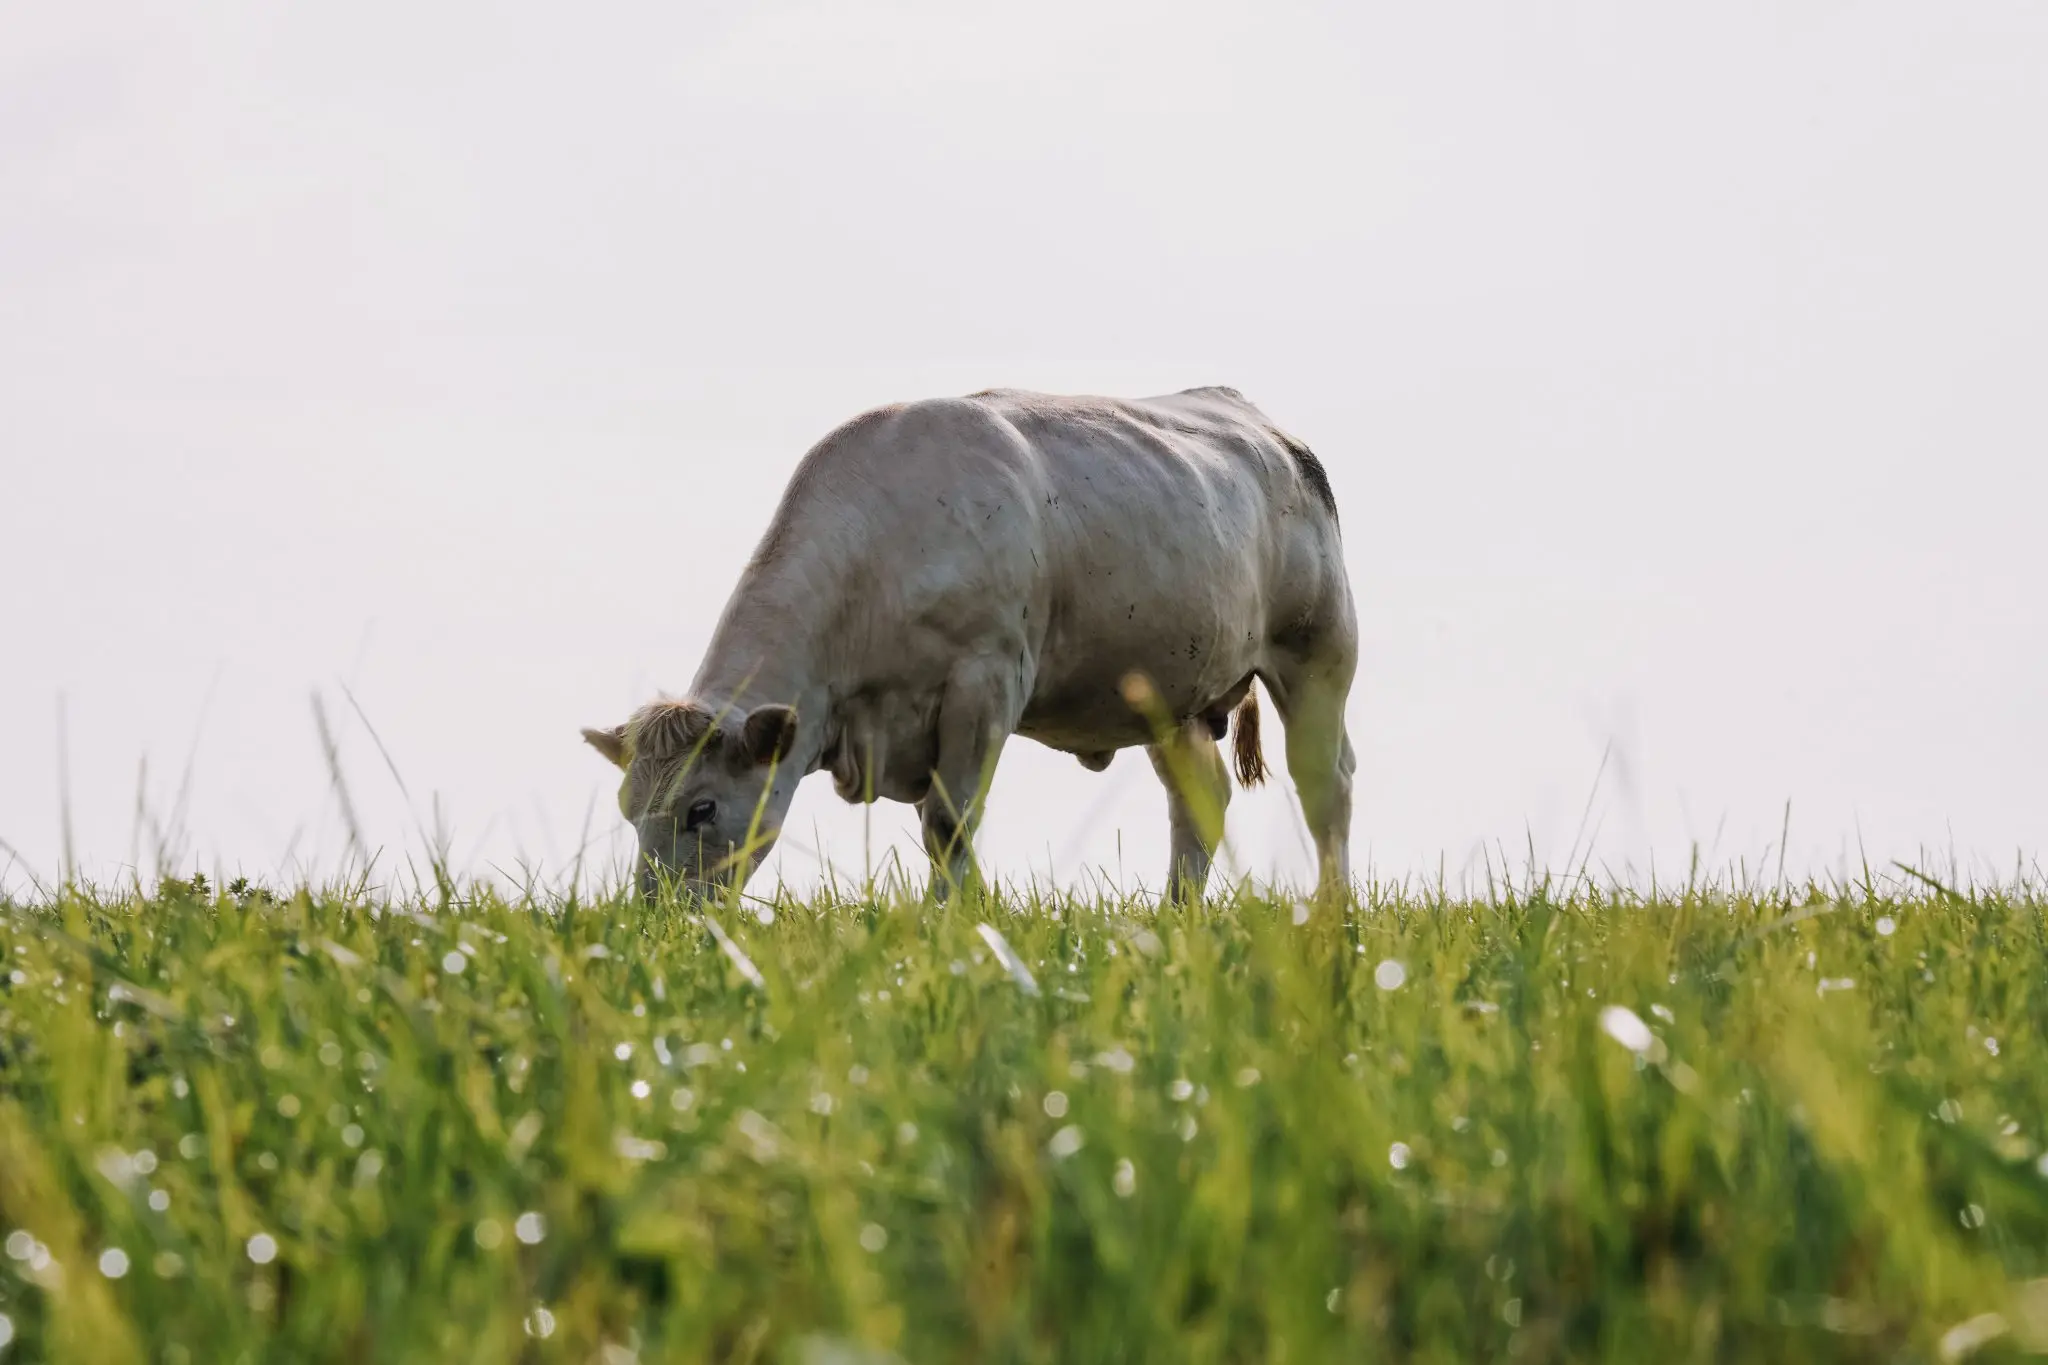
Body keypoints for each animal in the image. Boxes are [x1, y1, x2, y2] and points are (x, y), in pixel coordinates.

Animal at [581, 385, 1357, 903]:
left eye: (701, 809)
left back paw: (1331, 912)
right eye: (626, 808)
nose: (654, 918)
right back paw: (1178, 916)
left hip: (1318, 649)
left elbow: (948, 822)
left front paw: (954, 921)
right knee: (1199, 799)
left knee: (1327, 783)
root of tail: (1261, 425)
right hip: (1174, 694)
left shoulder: (986, 678)